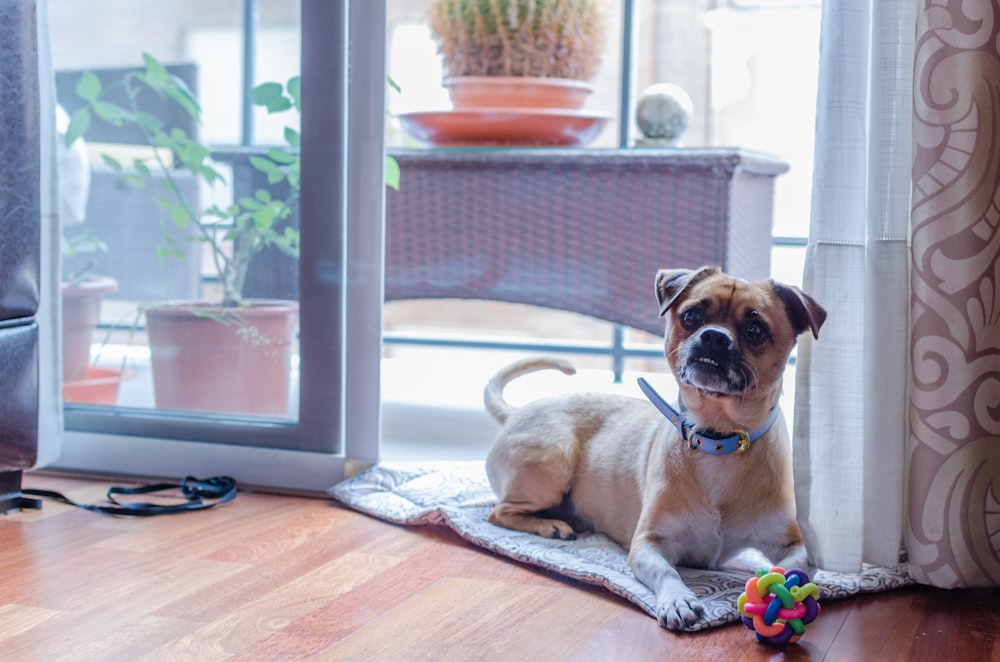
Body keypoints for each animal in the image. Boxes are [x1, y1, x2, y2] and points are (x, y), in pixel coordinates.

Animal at [480, 268, 824, 632]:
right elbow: (667, 571)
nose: (714, 336)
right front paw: (678, 599)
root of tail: (515, 412)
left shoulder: (793, 545)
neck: (719, 438)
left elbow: (788, 570)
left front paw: (777, 593)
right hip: (552, 466)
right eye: (691, 316)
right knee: (499, 512)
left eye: (755, 330)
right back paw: (550, 525)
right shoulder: (647, 544)